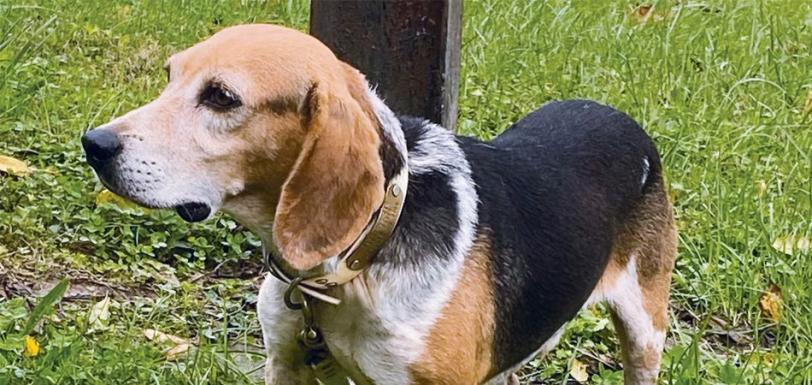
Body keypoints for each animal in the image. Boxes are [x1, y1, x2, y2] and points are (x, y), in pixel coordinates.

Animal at [84, 24, 680, 384]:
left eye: (222, 98)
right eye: (169, 77)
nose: (93, 143)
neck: (358, 260)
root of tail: (620, 118)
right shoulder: (289, 363)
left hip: (644, 333)